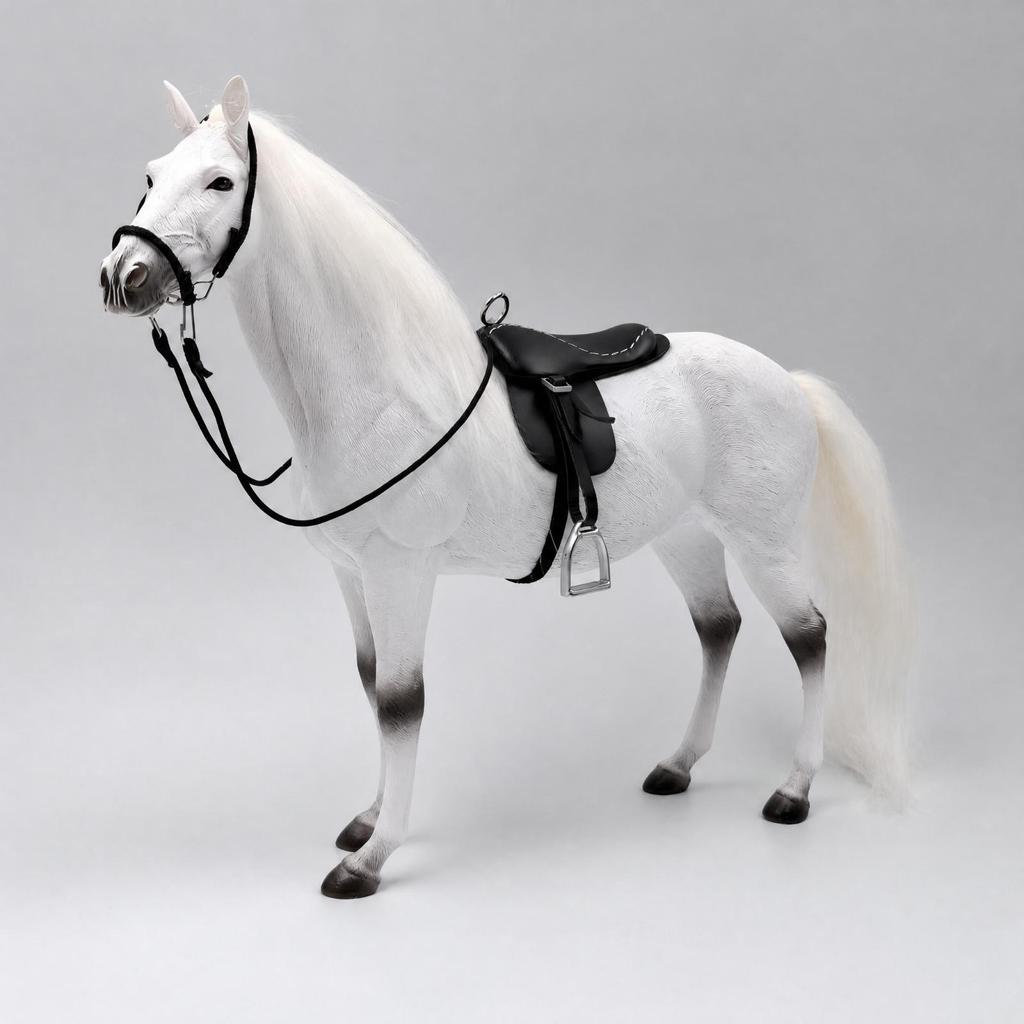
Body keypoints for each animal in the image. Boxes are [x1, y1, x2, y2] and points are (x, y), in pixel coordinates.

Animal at [100, 76, 914, 899]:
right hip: (684, 538)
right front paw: (368, 819)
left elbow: (401, 702)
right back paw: (679, 765)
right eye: (151, 176)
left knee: (809, 637)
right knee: (719, 628)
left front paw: (372, 858)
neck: (379, 399)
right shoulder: (353, 575)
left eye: (220, 181)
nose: (123, 276)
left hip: (762, 542)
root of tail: (789, 381)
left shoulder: (400, 572)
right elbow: (371, 684)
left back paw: (795, 789)